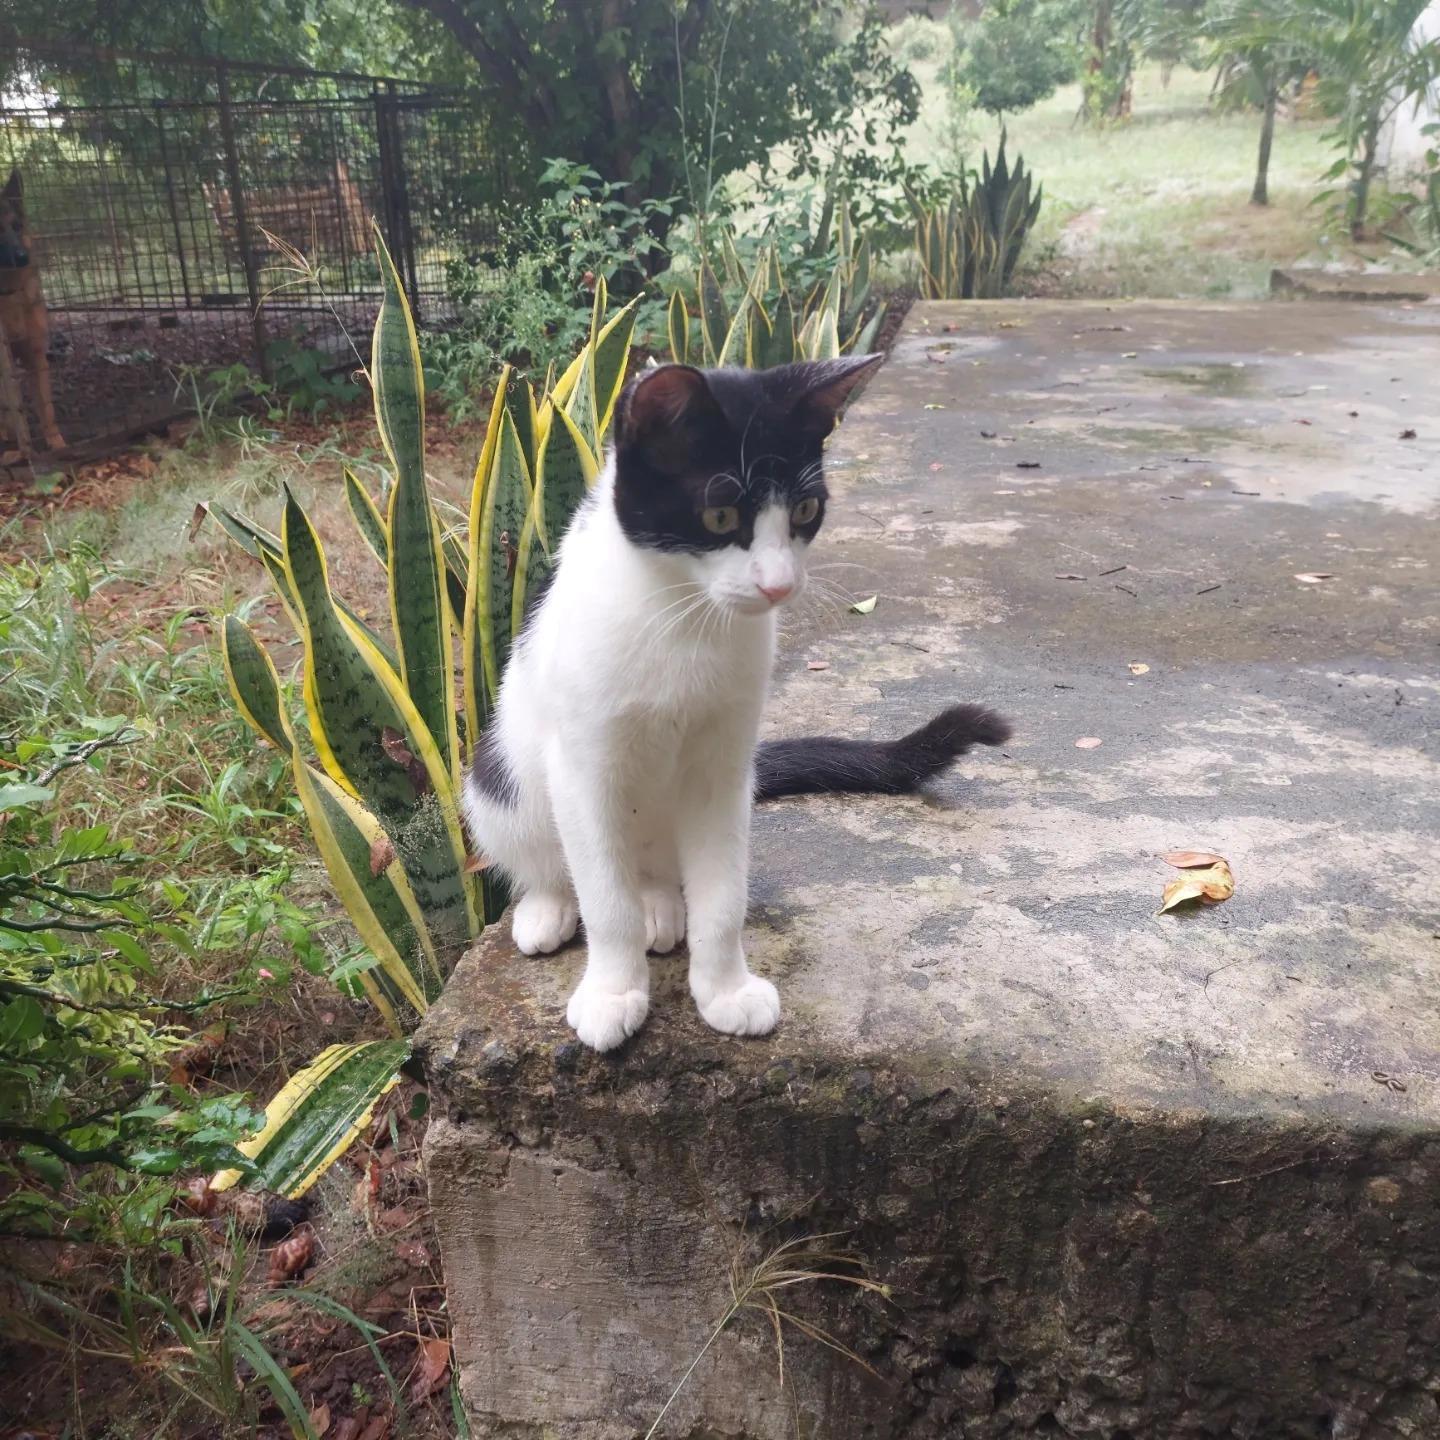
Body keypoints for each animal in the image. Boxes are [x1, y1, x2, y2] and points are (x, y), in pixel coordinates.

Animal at [462, 355, 1011, 1052]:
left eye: (805, 508)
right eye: (721, 517)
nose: (778, 585)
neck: (685, 617)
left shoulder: (723, 764)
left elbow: (722, 895)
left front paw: (725, 990)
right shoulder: (582, 764)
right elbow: (605, 900)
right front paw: (613, 993)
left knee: (655, 872)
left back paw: (660, 906)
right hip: (502, 779)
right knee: (546, 853)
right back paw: (550, 907)